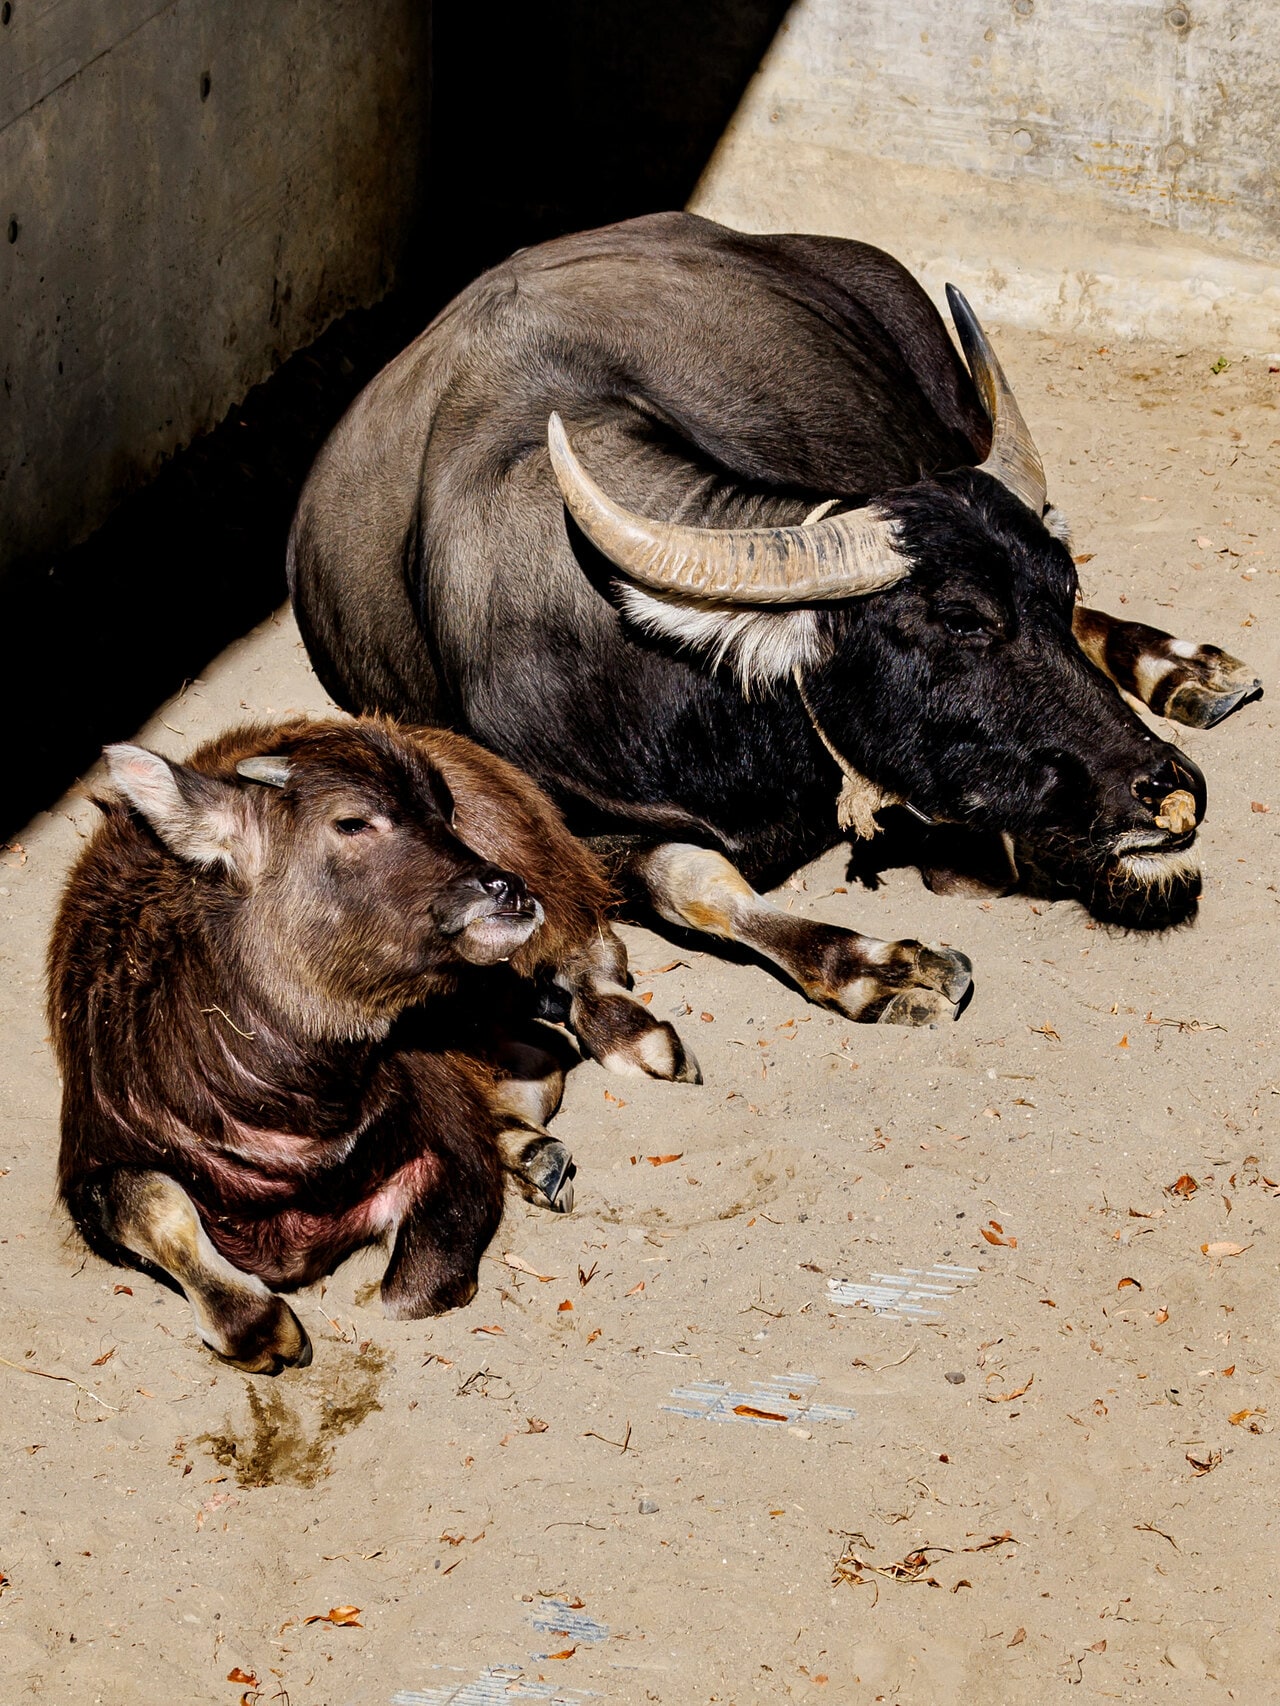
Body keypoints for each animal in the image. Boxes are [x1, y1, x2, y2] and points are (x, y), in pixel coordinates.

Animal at [50, 716, 696, 1371]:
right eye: (352, 821)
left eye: (445, 811)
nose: (507, 890)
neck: (297, 1110)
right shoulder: (93, 1168)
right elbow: (150, 1205)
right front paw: (258, 1326)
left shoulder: (454, 1149)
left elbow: (411, 1292)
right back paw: (533, 1150)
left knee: (589, 951)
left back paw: (638, 1041)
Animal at [290, 213, 1262, 1023]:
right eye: (959, 620)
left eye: (1055, 592)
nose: (1168, 788)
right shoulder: (559, 834)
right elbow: (694, 884)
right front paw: (879, 968)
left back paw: (1188, 669)